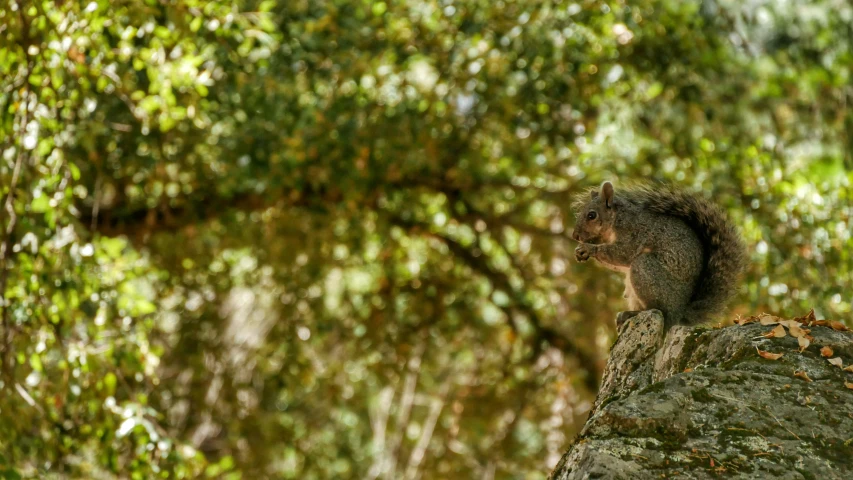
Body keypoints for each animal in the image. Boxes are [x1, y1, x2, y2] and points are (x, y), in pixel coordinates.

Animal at [572, 181, 744, 330]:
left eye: (592, 215)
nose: (575, 236)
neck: (617, 218)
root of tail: (679, 312)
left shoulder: (633, 233)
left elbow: (623, 254)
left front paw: (589, 248)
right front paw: (580, 251)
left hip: (646, 269)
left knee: (659, 310)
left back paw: (634, 313)